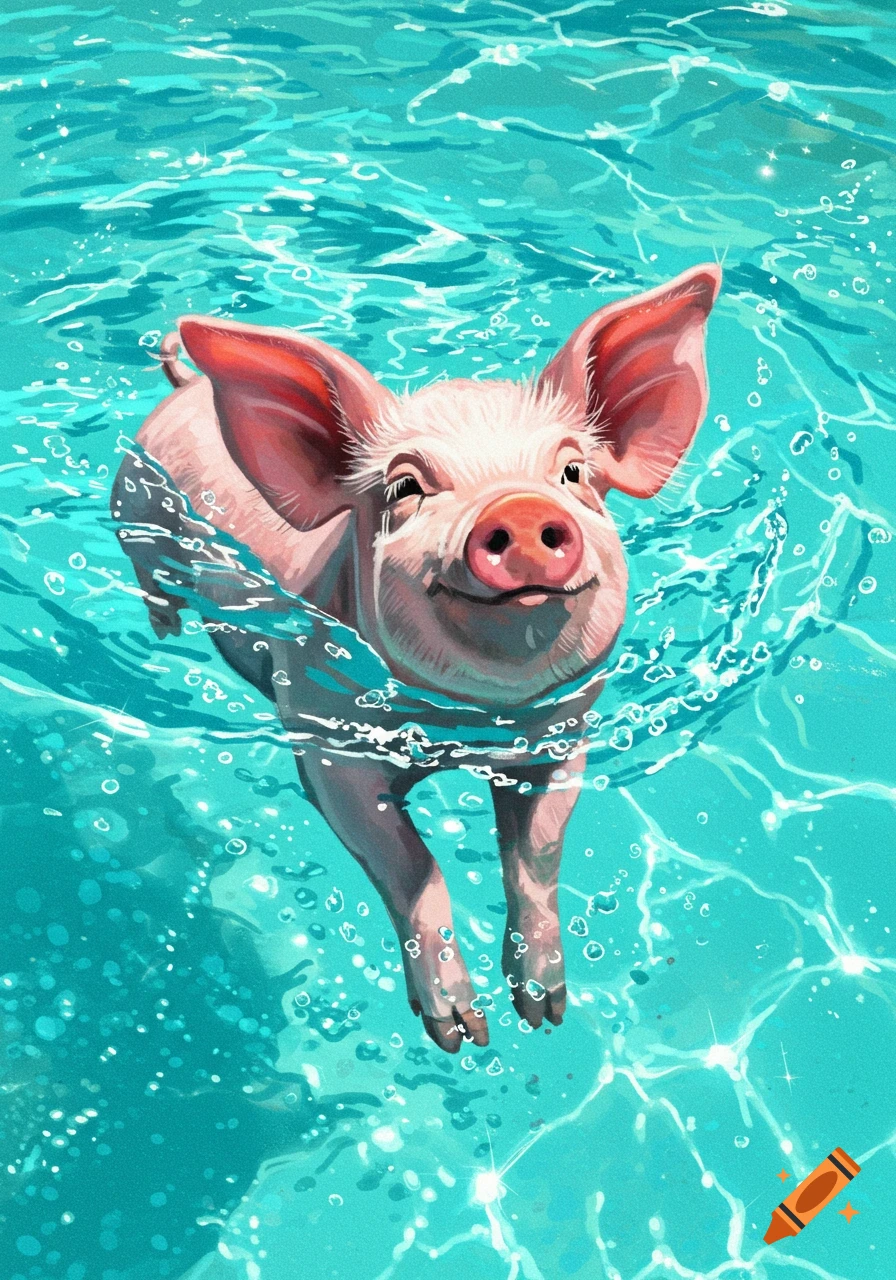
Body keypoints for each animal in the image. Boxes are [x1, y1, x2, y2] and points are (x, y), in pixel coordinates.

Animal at [112, 263, 721, 1052]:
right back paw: (164, 634)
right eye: (404, 487)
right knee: (152, 583)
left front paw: (544, 1013)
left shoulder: (563, 740)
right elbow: (412, 865)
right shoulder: (327, 748)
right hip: (133, 521)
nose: (520, 510)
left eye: (573, 473)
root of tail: (186, 388)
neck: (472, 722)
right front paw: (462, 1036)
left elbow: (538, 854)